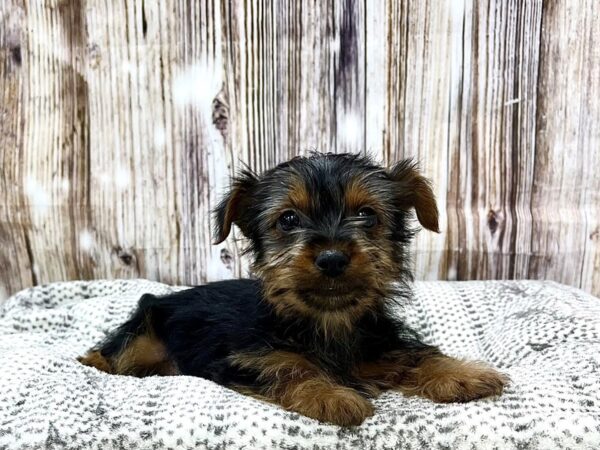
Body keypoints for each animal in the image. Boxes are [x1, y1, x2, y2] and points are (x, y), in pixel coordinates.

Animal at [79, 153, 508, 428]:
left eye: (366, 215)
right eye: (288, 219)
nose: (332, 257)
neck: (327, 320)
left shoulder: (379, 345)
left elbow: (413, 353)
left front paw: (461, 374)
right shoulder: (240, 359)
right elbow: (285, 367)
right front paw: (330, 395)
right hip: (144, 329)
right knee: (117, 353)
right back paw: (94, 360)